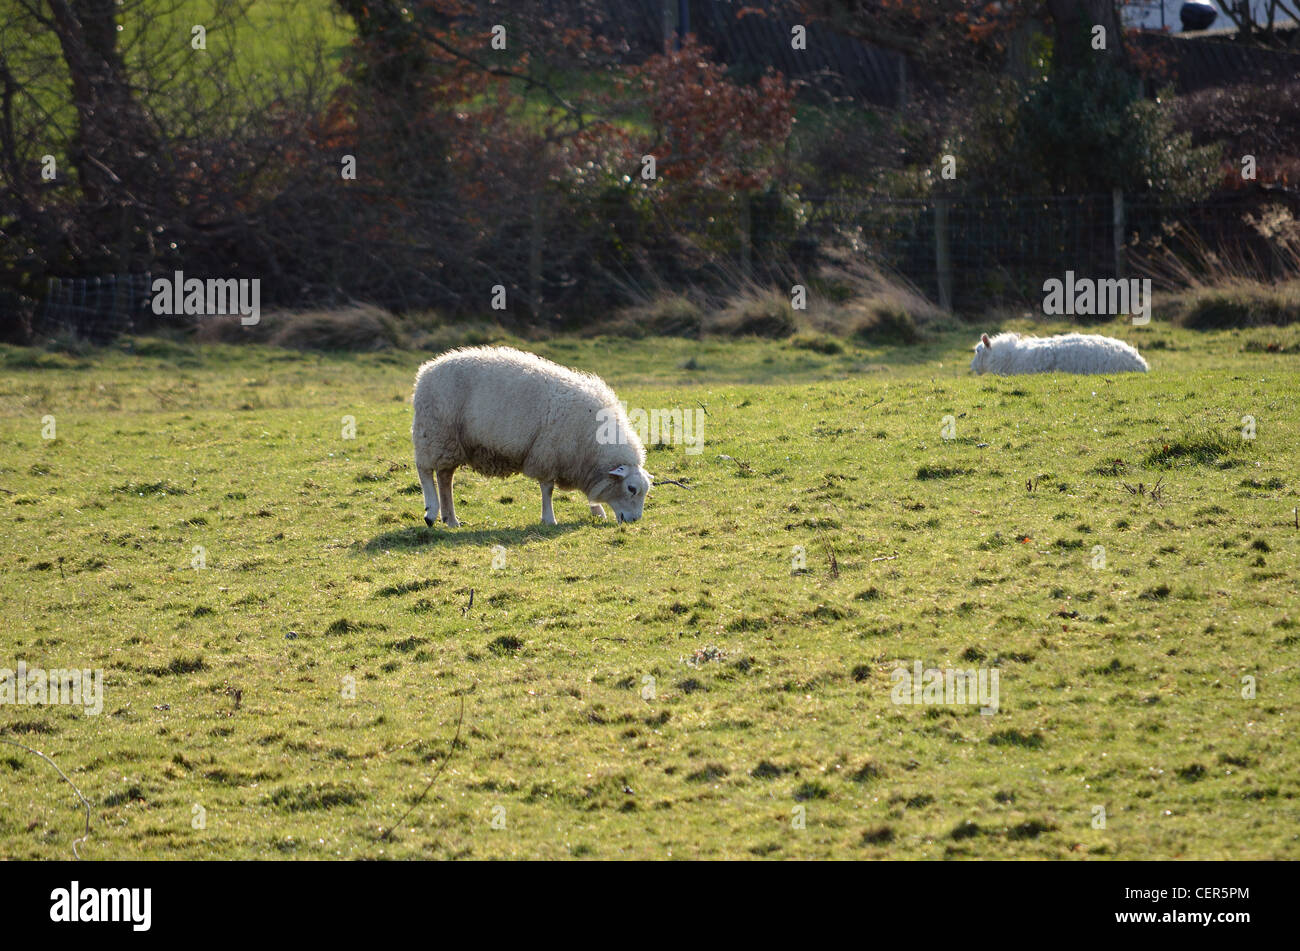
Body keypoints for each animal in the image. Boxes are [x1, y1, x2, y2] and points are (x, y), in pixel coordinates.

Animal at [411, 346, 652, 526]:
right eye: (631, 489)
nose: (634, 521)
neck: (593, 445)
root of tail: (425, 371)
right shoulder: (548, 454)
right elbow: (548, 489)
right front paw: (549, 519)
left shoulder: (576, 462)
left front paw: (597, 511)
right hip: (434, 432)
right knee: (425, 471)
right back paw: (431, 512)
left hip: (449, 442)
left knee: (445, 476)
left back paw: (450, 519)